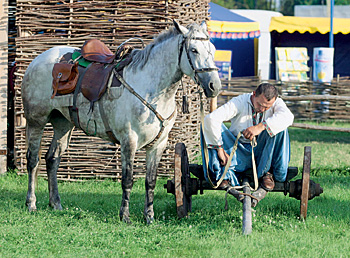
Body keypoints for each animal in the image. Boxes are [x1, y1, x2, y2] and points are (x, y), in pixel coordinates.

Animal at [21, 20, 221, 223]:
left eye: (212, 49)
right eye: (194, 50)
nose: (214, 86)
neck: (150, 87)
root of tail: (38, 60)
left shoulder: (158, 144)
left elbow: (150, 181)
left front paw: (149, 216)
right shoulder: (129, 140)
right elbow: (127, 179)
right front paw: (124, 215)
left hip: (63, 124)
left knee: (52, 159)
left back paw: (56, 203)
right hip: (36, 122)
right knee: (33, 160)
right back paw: (31, 203)